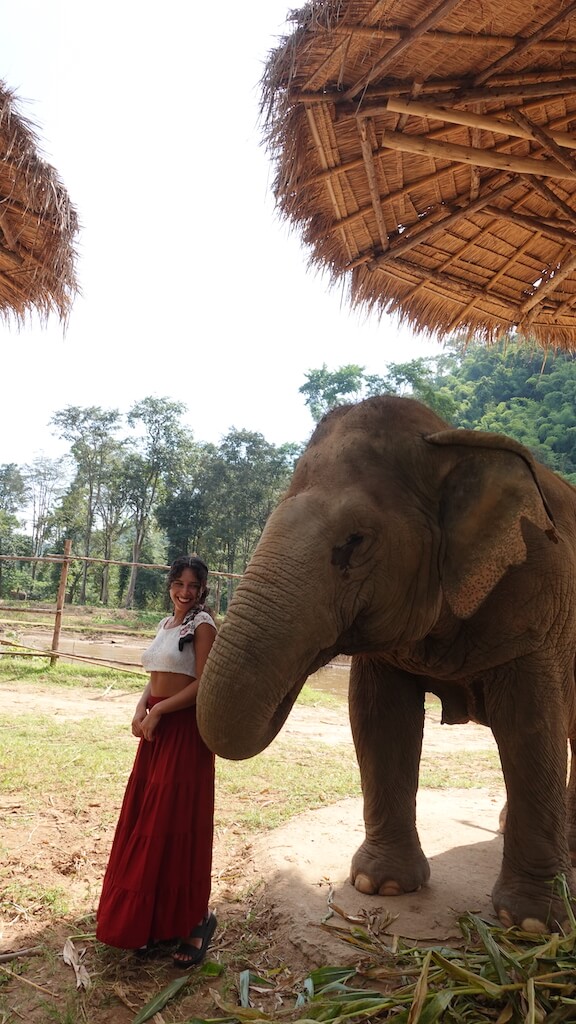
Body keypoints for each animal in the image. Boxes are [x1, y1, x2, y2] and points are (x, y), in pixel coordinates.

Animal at [196, 395, 573, 933]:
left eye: (355, 541)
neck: (446, 440)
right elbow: (379, 718)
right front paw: (382, 885)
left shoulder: (536, 601)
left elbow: (532, 727)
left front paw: (532, 924)